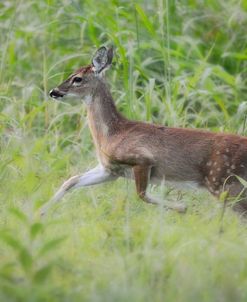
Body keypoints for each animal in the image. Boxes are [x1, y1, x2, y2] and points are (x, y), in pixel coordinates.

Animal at [43, 45, 247, 215]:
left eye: (77, 78)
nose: (53, 92)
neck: (113, 133)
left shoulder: (142, 159)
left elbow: (141, 194)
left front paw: (181, 206)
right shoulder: (109, 170)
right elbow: (71, 180)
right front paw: (42, 212)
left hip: (223, 181)